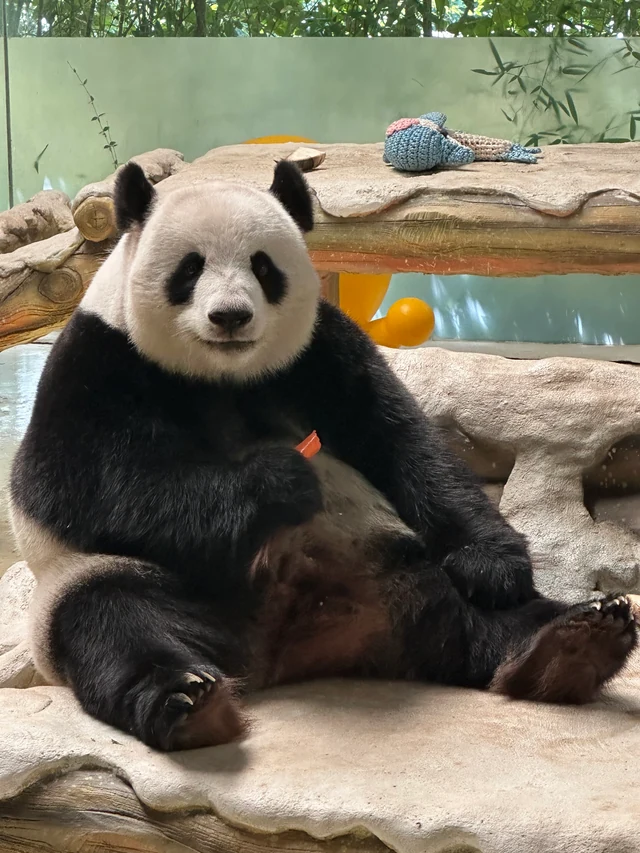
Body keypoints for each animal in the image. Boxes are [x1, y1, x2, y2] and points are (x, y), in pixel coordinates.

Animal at [9, 159, 638, 751]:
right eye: (190, 268)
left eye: (264, 268)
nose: (231, 317)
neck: (223, 375)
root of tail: (277, 653)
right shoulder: (101, 359)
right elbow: (80, 487)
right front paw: (279, 482)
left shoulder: (322, 352)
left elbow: (403, 442)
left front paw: (496, 563)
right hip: (109, 581)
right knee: (113, 621)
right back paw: (186, 702)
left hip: (399, 561)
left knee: (480, 618)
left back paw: (571, 643)